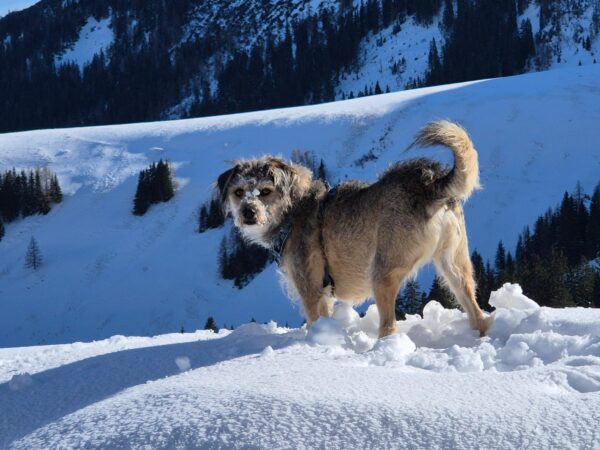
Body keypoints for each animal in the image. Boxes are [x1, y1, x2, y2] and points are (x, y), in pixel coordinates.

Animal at [216, 121, 489, 338]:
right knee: (476, 311)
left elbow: (315, 319)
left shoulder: (311, 289)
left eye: (265, 191)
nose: (248, 212)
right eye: (238, 192)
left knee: (389, 325)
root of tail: (429, 184)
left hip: (383, 272)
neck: (294, 210)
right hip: (455, 265)